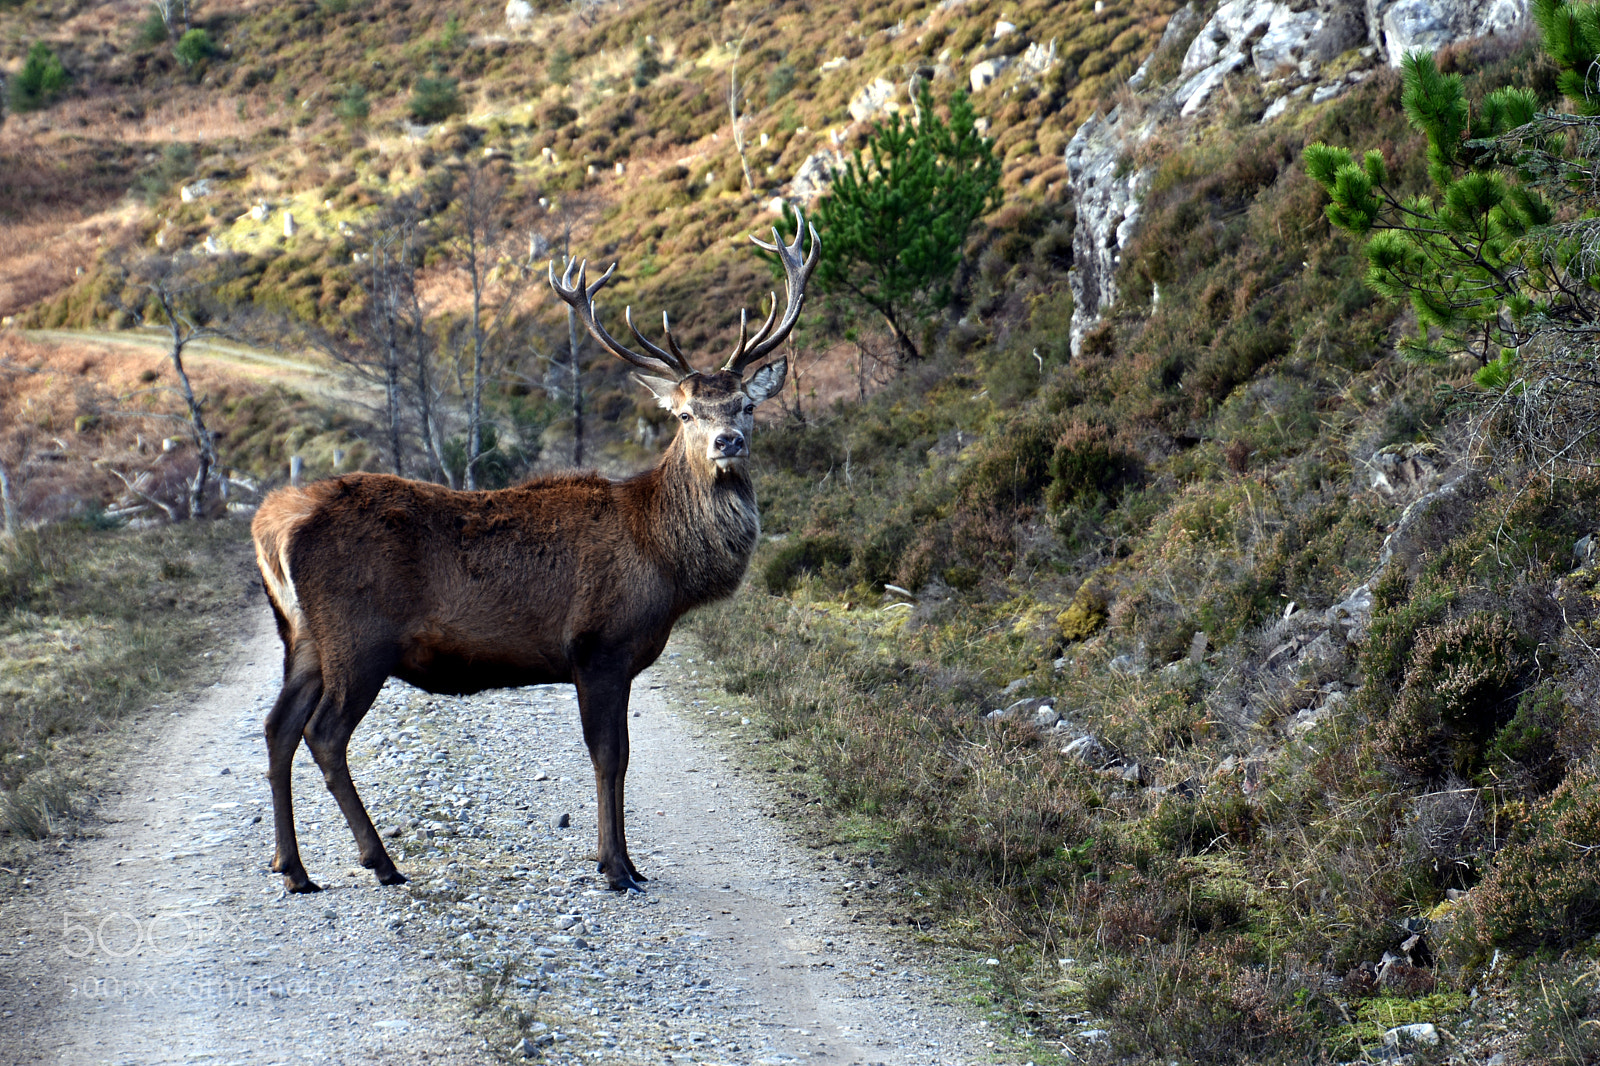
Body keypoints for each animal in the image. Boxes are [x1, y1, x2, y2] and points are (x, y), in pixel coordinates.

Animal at [251, 217, 818, 893]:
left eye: (747, 405)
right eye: (685, 414)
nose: (727, 442)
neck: (663, 561)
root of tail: (276, 522)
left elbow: (617, 757)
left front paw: (624, 863)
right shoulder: (599, 644)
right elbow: (611, 757)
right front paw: (617, 868)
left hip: (304, 638)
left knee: (278, 728)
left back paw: (293, 869)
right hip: (358, 637)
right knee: (324, 734)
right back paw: (379, 861)